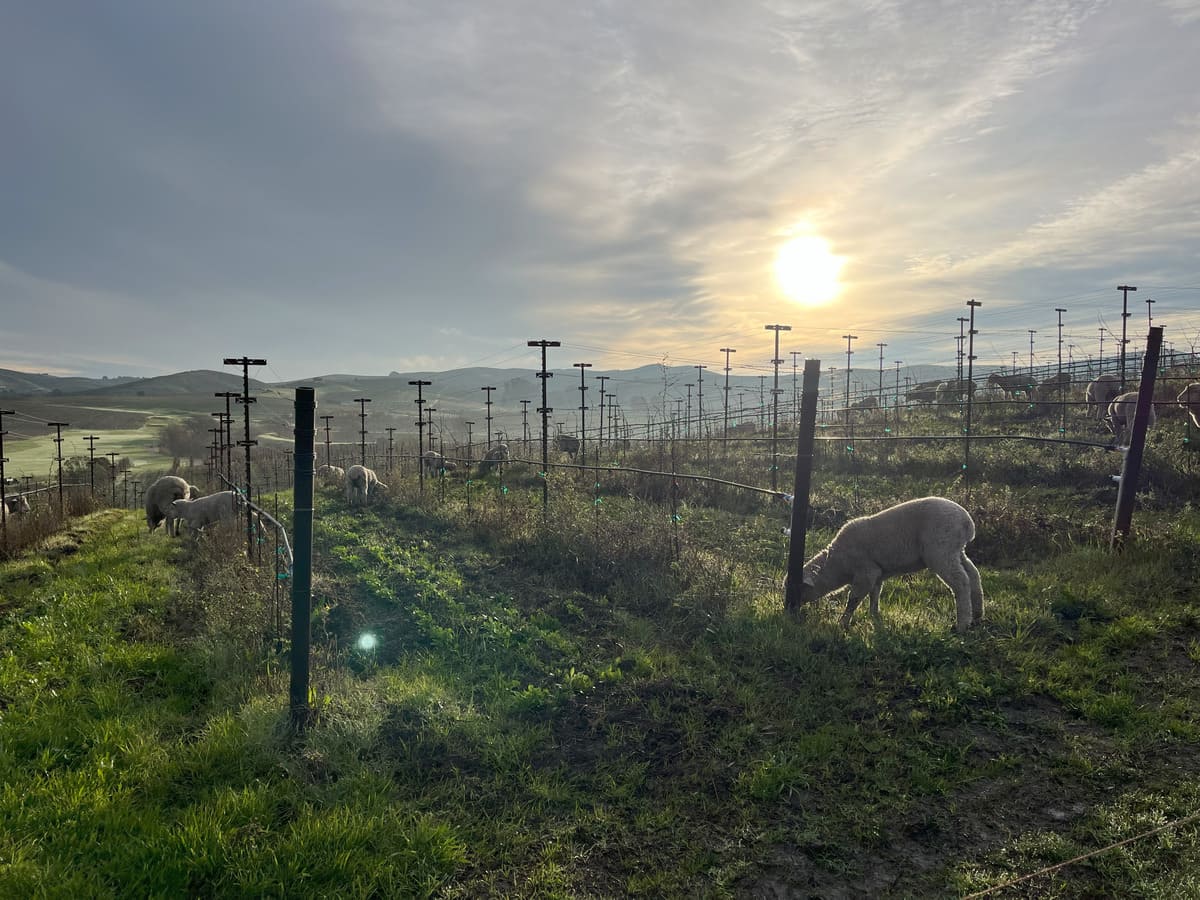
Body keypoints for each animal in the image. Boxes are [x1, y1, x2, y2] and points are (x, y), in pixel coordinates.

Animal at [787, 501, 984, 633]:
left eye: (797, 588)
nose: (790, 610)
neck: (837, 563)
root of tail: (967, 523)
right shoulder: (877, 573)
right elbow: (875, 595)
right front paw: (874, 616)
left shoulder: (865, 572)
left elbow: (854, 599)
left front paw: (843, 623)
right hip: (956, 550)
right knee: (973, 574)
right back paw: (977, 614)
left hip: (941, 550)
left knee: (961, 581)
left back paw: (962, 624)